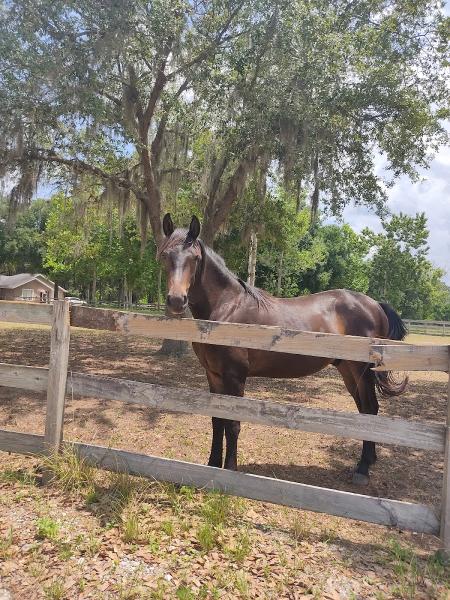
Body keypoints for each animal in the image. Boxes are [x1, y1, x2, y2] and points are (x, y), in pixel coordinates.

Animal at [158, 213, 408, 486]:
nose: (176, 300)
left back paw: (362, 469)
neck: (227, 309)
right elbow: (217, 420)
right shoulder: (213, 375)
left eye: (194, 258)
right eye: (165, 255)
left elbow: (233, 424)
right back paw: (368, 461)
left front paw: (230, 470)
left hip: (362, 371)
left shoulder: (235, 377)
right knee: (364, 411)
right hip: (348, 371)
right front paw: (212, 466)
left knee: (371, 409)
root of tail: (375, 304)